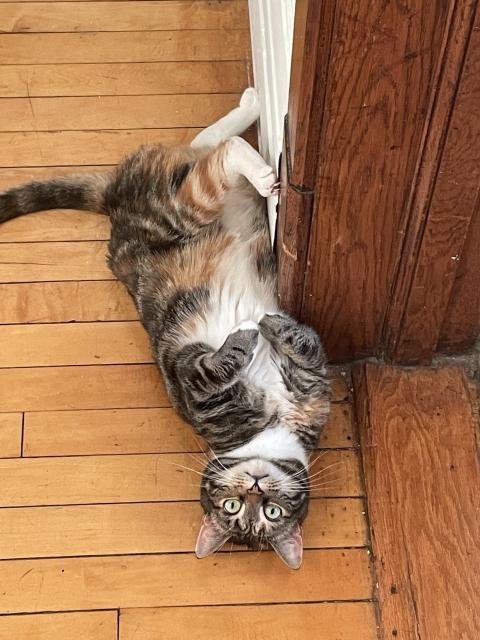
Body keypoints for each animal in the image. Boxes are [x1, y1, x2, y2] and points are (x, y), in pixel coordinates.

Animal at [0, 90, 330, 568]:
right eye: (233, 508)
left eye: (272, 512)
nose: (255, 487)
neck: (273, 430)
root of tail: (112, 197)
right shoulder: (192, 381)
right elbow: (218, 362)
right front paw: (252, 327)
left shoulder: (311, 392)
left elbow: (308, 349)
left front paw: (270, 323)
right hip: (179, 215)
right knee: (218, 157)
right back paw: (265, 167)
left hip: (185, 201)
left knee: (206, 147)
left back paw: (251, 109)